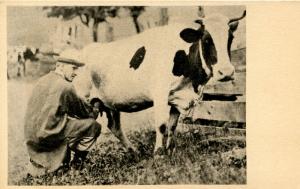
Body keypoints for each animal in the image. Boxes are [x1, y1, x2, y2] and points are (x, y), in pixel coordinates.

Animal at [72, 10, 246, 155]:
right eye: (207, 40)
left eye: (230, 39)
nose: (226, 72)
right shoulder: (160, 94)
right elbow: (161, 125)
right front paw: (158, 153)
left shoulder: (177, 96)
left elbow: (172, 126)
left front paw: (170, 150)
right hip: (82, 104)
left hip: (109, 103)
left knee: (114, 127)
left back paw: (133, 152)